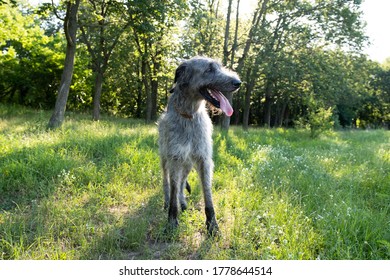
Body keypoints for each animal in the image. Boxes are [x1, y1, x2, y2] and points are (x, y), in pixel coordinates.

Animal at [158, 56, 241, 234]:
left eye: (220, 66)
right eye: (209, 69)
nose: (238, 82)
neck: (190, 115)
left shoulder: (203, 160)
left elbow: (207, 194)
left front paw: (212, 225)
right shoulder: (175, 158)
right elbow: (173, 187)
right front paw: (172, 220)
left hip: (188, 164)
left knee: (182, 182)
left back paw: (182, 202)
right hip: (165, 158)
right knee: (167, 182)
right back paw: (168, 202)